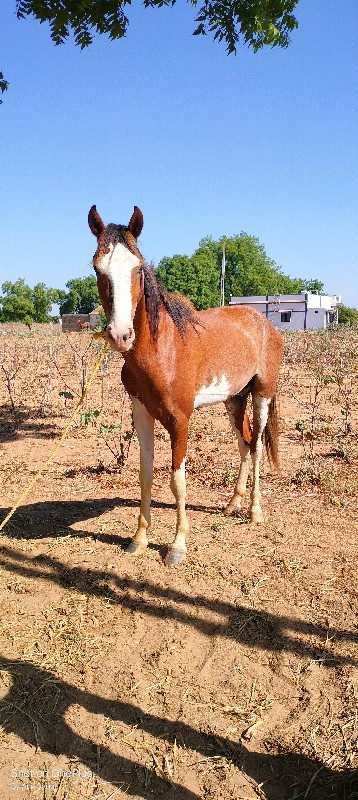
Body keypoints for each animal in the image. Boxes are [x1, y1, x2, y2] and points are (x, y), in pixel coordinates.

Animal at [88, 206, 284, 568]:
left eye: (138, 269)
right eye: (97, 267)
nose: (120, 335)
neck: (163, 349)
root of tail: (264, 323)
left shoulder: (180, 421)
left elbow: (177, 480)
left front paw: (177, 545)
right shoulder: (142, 413)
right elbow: (146, 474)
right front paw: (139, 539)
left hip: (262, 395)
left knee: (258, 447)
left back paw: (254, 511)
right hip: (234, 400)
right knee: (244, 443)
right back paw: (232, 504)